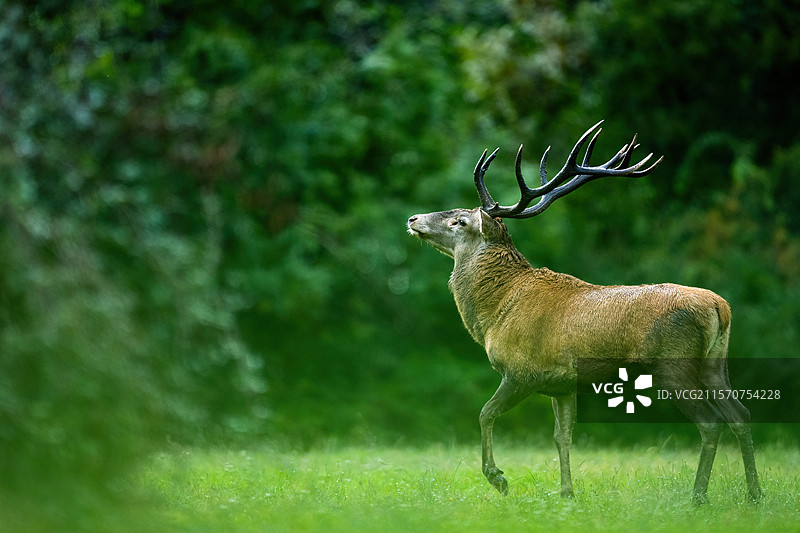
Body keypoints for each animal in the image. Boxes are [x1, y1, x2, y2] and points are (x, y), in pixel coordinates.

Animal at [407, 121, 762, 504]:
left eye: (459, 221)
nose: (413, 217)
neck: (495, 313)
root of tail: (720, 307)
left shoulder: (521, 370)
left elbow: (485, 413)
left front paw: (498, 478)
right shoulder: (562, 384)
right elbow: (563, 435)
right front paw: (567, 493)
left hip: (674, 364)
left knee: (710, 422)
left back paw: (698, 496)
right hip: (716, 363)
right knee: (740, 413)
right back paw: (755, 494)